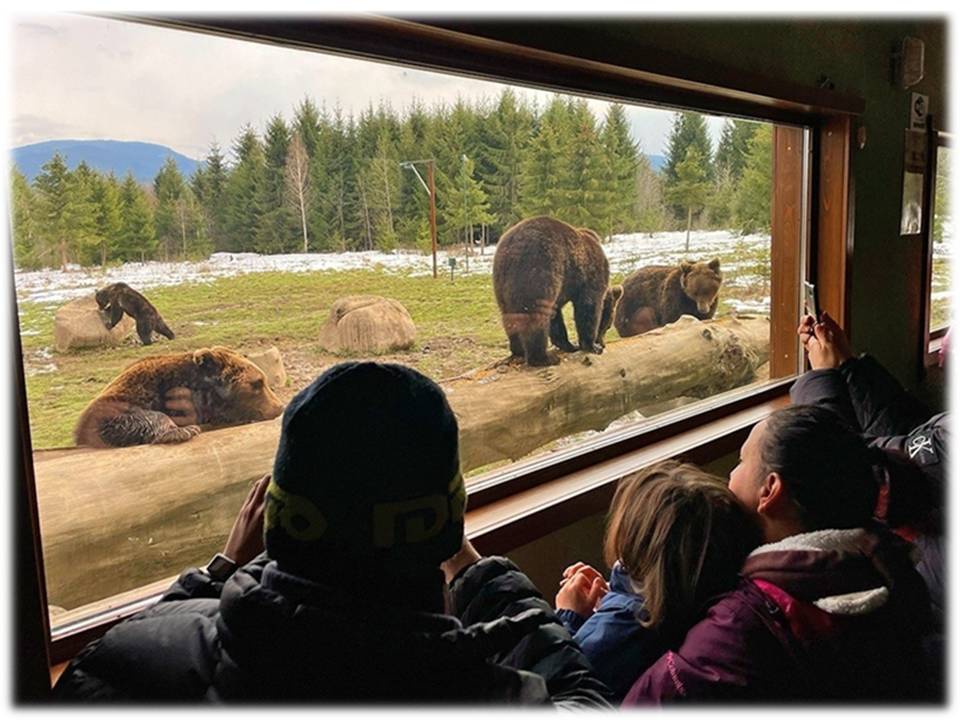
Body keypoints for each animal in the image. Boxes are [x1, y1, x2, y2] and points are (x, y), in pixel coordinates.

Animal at [493, 216, 622, 366]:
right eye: (608, 326)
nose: (603, 343)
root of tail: (511, 247)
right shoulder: (589, 277)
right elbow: (588, 307)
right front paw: (591, 346)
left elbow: (555, 318)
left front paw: (570, 345)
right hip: (539, 267)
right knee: (535, 315)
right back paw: (543, 358)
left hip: (501, 281)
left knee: (509, 315)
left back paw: (518, 351)